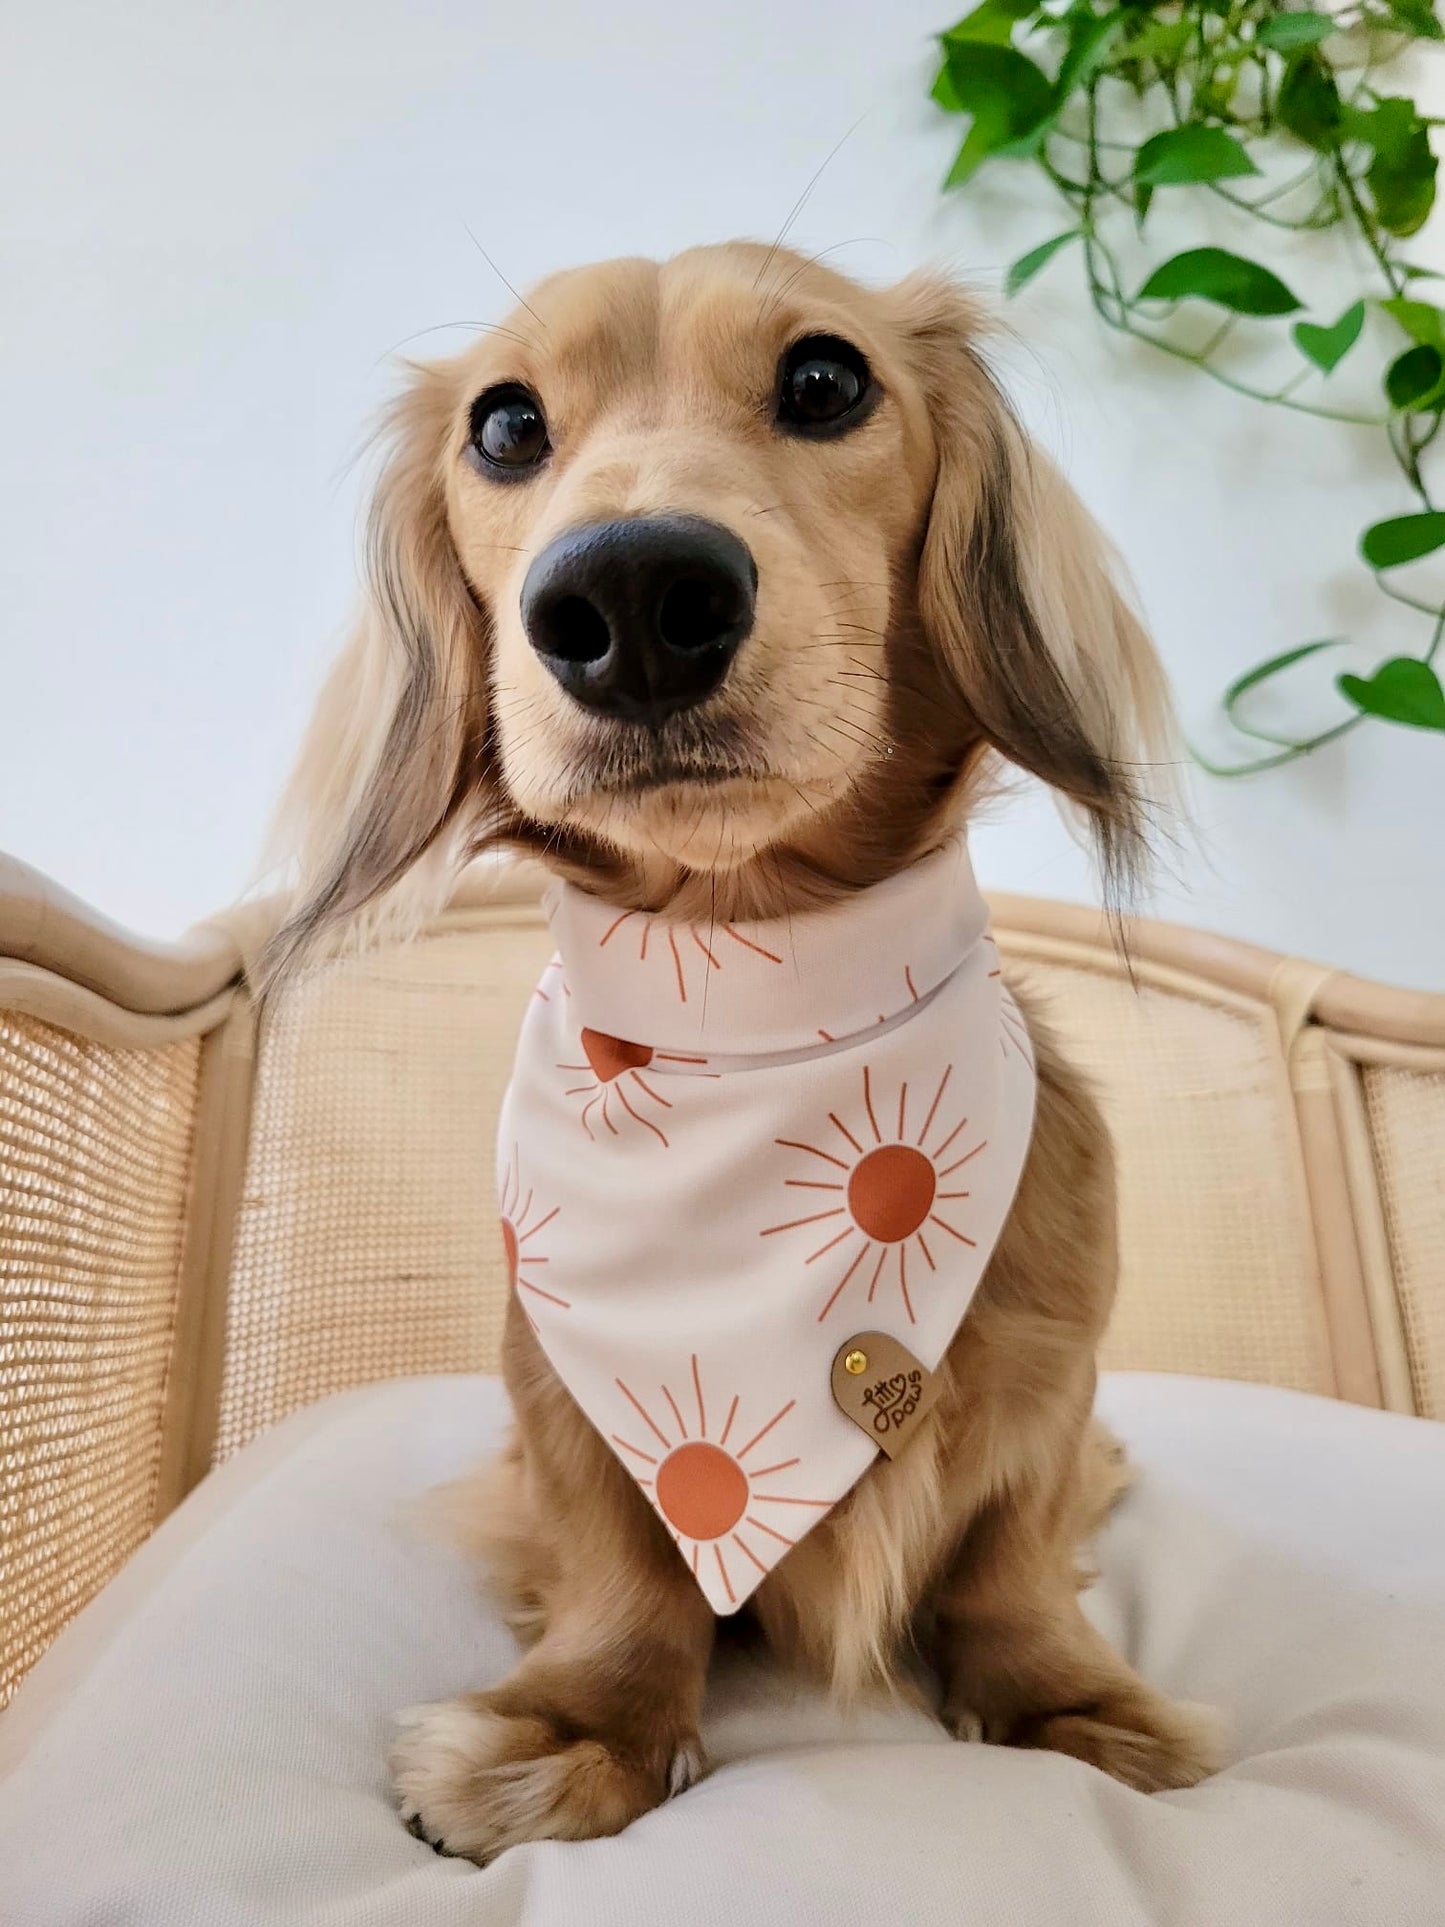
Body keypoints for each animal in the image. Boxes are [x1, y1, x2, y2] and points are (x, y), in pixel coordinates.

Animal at [260, 240, 1225, 1865]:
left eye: (826, 379)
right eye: (505, 425)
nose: (631, 591)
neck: (753, 1013)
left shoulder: (1049, 1385)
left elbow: (1009, 1557)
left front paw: (1065, 1701)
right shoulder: (563, 1393)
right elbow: (618, 1562)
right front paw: (584, 1725)